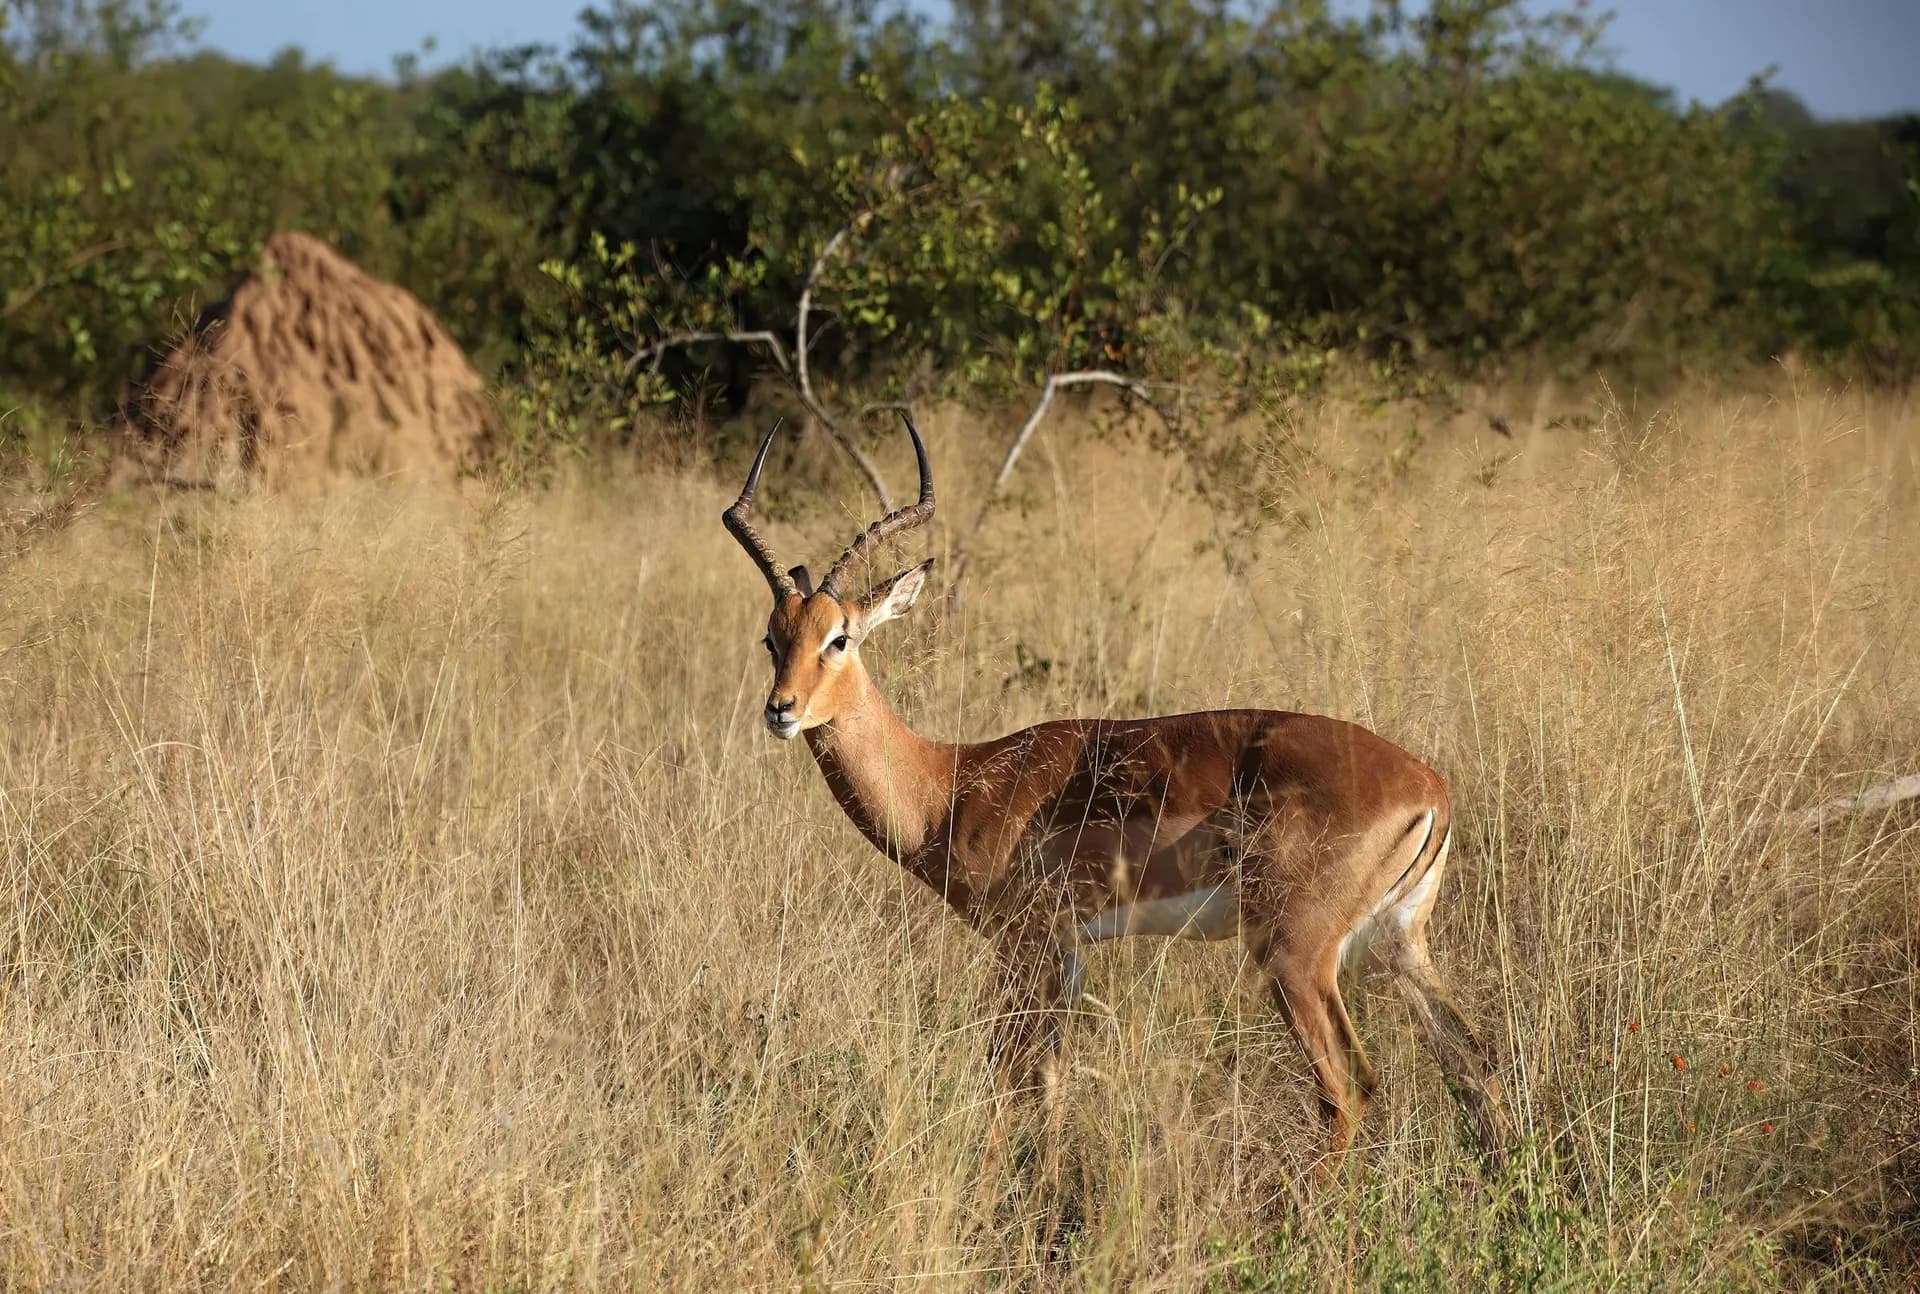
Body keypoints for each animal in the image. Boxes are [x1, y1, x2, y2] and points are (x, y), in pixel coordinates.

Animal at [723, 414, 1511, 1172]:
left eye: (841, 637)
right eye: (772, 637)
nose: (781, 710)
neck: (950, 785)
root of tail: (1430, 788)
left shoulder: (1023, 943)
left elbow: (1006, 1078)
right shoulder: (1069, 950)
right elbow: (1052, 1080)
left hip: (1296, 954)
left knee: (1349, 1086)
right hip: (1399, 943)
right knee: (1473, 1060)